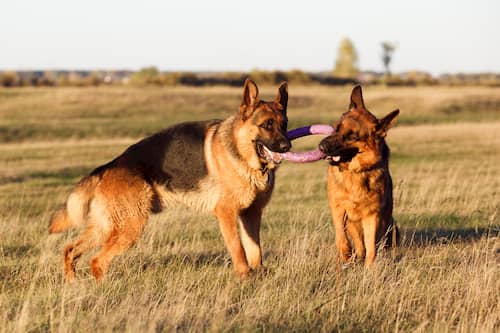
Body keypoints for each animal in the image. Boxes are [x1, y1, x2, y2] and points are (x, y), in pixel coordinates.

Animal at [48, 79, 292, 278]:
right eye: (266, 125)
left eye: (285, 124)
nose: (287, 146)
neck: (242, 153)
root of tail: (110, 166)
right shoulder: (227, 213)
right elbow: (238, 248)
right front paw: (244, 276)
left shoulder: (252, 214)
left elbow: (255, 249)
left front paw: (258, 274)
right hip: (130, 227)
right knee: (97, 261)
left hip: (106, 226)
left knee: (70, 250)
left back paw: (72, 286)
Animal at [318, 85, 400, 268]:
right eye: (336, 127)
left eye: (351, 136)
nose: (321, 146)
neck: (355, 172)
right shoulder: (338, 209)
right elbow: (341, 237)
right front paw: (346, 255)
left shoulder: (372, 216)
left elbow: (371, 247)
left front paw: (369, 269)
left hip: (389, 223)